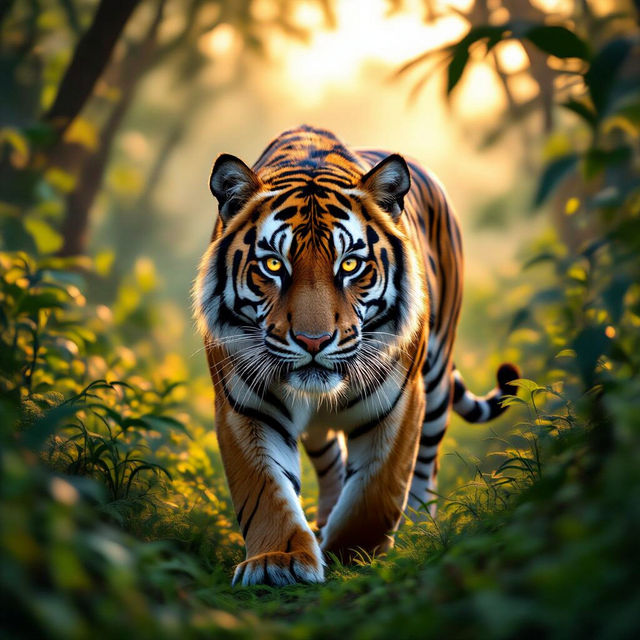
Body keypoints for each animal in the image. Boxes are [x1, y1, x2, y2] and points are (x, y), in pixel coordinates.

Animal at [193, 125, 519, 587]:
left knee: (426, 466)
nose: (313, 341)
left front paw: (353, 556)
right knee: (331, 460)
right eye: (273, 265)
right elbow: (265, 487)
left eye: (350, 266)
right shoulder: (246, 405)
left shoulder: (399, 401)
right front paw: (278, 561)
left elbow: (375, 490)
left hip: (436, 383)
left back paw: (420, 529)